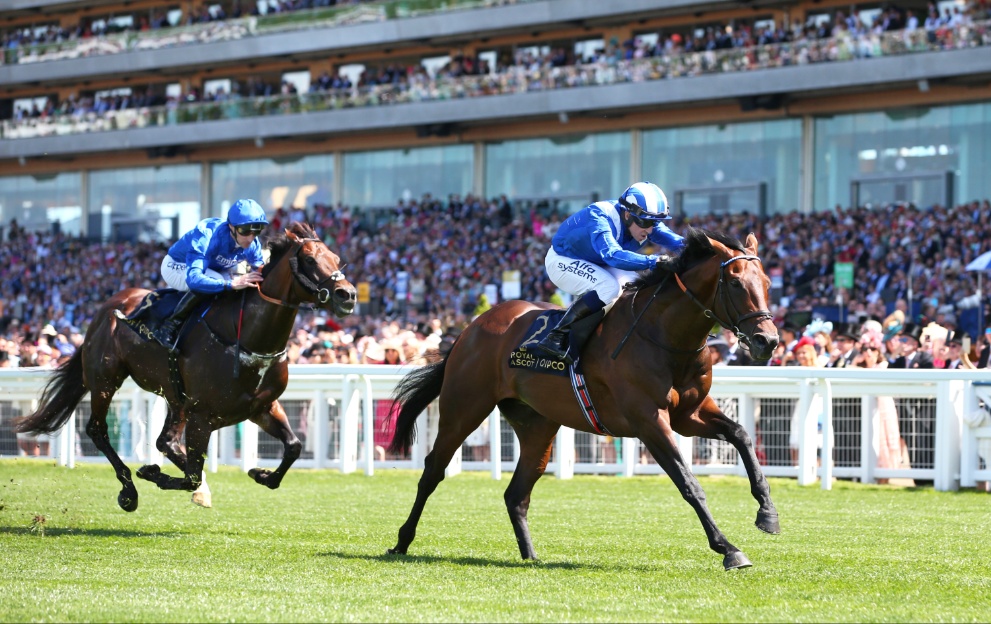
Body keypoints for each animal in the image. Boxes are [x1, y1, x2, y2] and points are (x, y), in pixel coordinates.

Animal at [15, 223, 356, 512]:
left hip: (173, 394)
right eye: (309, 259)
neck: (247, 337)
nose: (348, 295)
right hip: (105, 379)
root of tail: (107, 307)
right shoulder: (203, 417)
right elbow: (190, 474)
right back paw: (129, 490)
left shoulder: (261, 407)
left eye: (337, 258)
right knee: (98, 430)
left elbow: (294, 446)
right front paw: (152, 473)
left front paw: (261, 474)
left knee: (165, 441)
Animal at [388, 228, 784, 572]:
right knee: (433, 470)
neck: (664, 336)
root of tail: (471, 328)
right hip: (465, 407)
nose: (768, 341)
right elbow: (689, 484)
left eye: (766, 283)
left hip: (538, 425)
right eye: (735, 282)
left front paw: (768, 513)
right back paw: (402, 541)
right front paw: (728, 548)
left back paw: (531, 556)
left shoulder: (690, 415)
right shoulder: (649, 420)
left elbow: (741, 435)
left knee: (516, 493)